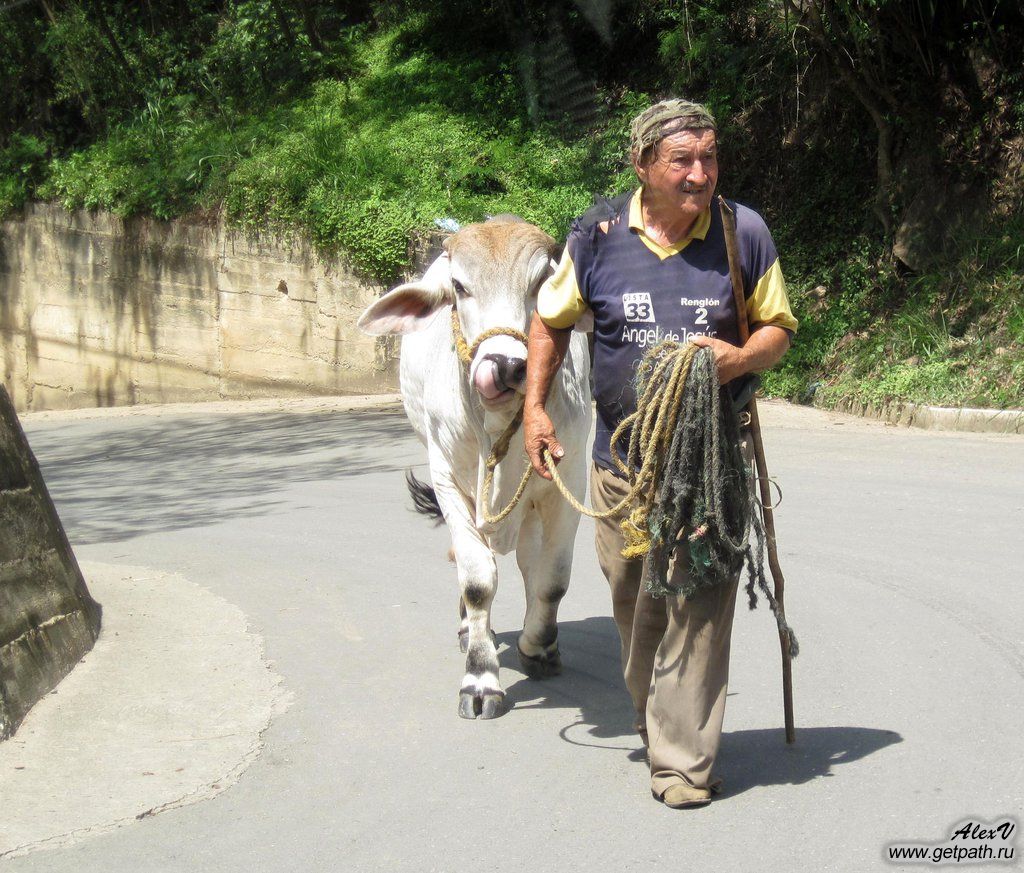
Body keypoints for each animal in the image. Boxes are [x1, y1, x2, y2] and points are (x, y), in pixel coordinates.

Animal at [358, 215, 585, 716]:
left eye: (542, 283)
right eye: (459, 287)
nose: (507, 365)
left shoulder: (569, 484)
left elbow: (552, 580)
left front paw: (540, 647)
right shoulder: (446, 479)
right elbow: (478, 580)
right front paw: (481, 679)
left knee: (529, 563)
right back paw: (468, 629)